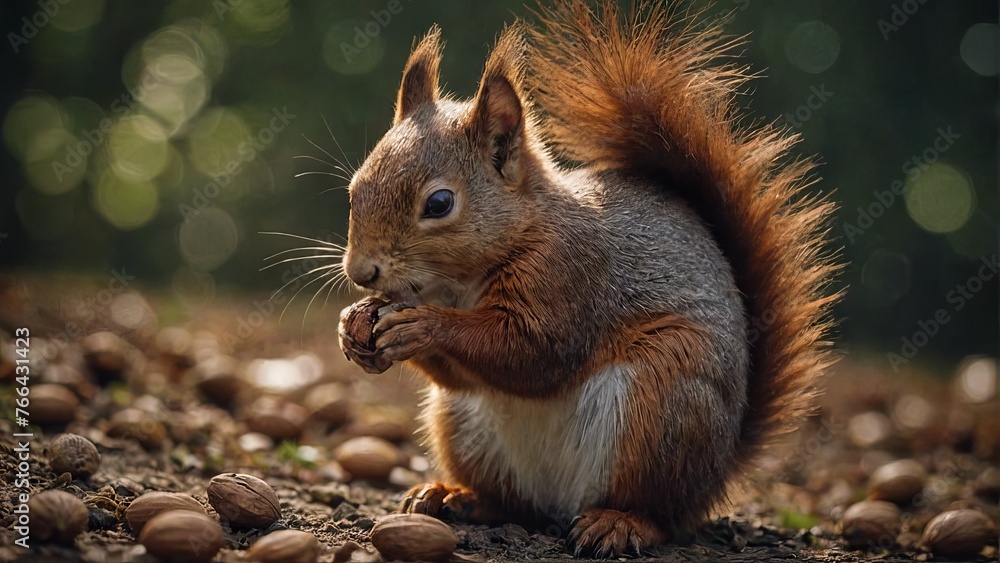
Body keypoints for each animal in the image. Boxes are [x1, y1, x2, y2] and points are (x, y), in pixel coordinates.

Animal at [337, 0, 839, 557]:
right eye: (355, 189)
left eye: (440, 203)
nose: (361, 272)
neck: (462, 282)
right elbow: (466, 374)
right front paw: (353, 326)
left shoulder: (571, 277)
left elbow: (532, 352)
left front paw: (422, 326)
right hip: (462, 425)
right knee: (515, 503)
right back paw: (457, 497)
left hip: (662, 404)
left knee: (659, 511)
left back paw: (620, 523)